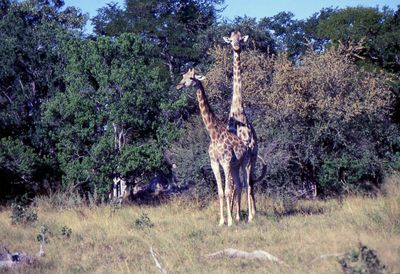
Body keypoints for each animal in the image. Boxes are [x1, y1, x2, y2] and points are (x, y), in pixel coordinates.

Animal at [176, 69, 250, 227]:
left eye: (191, 78)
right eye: (183, 76)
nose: (179, 85)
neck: (214, 134)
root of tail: (246, 145)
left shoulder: (225, 162)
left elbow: (227, 191)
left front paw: (229, 222)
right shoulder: (214, 163)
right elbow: (220, 192)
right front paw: (222, 221)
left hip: (245, 163)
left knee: (247, 185)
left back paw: (250, 218)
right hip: (235, 166)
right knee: (239, 186)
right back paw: (239, 217)